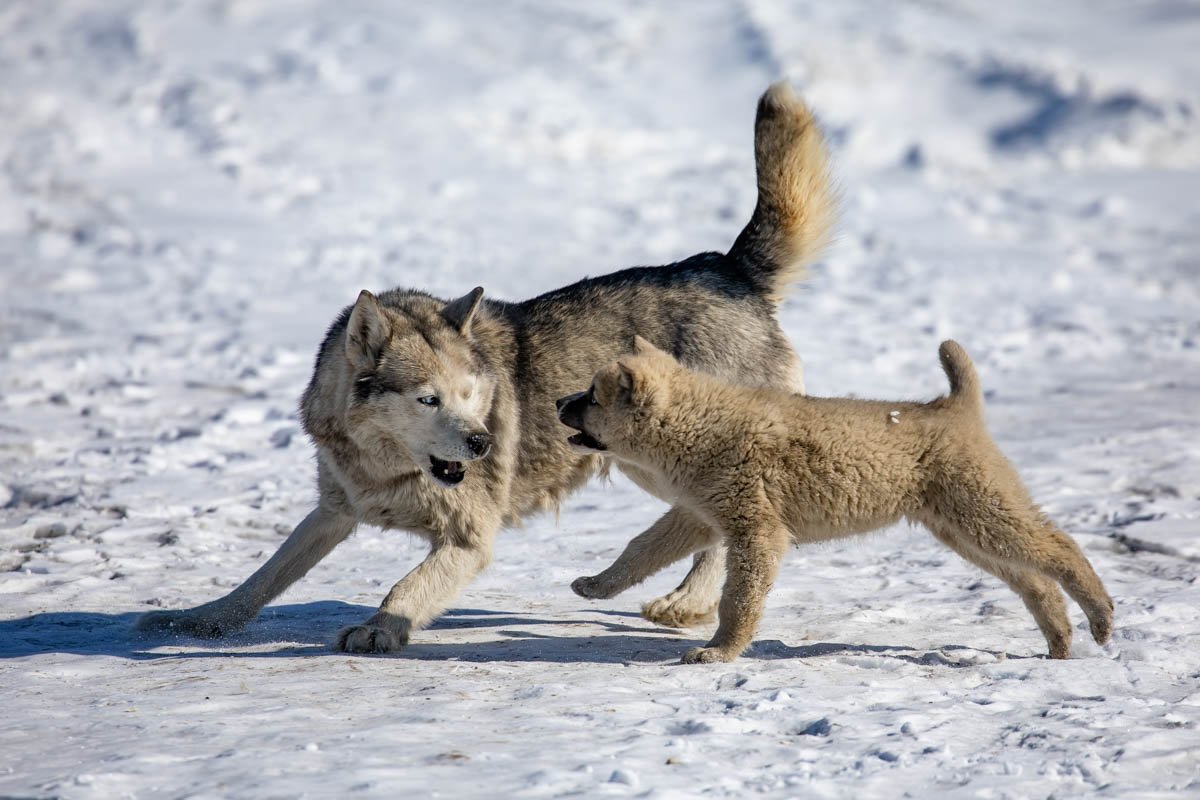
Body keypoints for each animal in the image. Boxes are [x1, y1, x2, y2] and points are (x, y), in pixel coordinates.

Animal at [133, 81, 835, 652]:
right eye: (429, 399)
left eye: (472, 394)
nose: (482, 443)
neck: (390, 469)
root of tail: (730, 269)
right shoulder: (334, 510)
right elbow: (262, 578)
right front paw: (196, 621)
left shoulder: (469, 539)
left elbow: (404, 589)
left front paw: (379, 631)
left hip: (660, 461)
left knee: (713, 532)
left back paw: (679, 604)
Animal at [559, 338, 1113, 662]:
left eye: (592, 396)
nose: (559, 401)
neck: (698, 427)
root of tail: (955, 406)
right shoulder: (697, 516)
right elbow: (640, 549)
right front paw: (595, 585)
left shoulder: (756, 531)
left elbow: (737, 600)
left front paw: (718, 652)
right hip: (964, 529)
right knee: (1034, 581)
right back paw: (1060, 642)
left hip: (982, 512)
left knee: (1061, 549)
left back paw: (1102, 618)